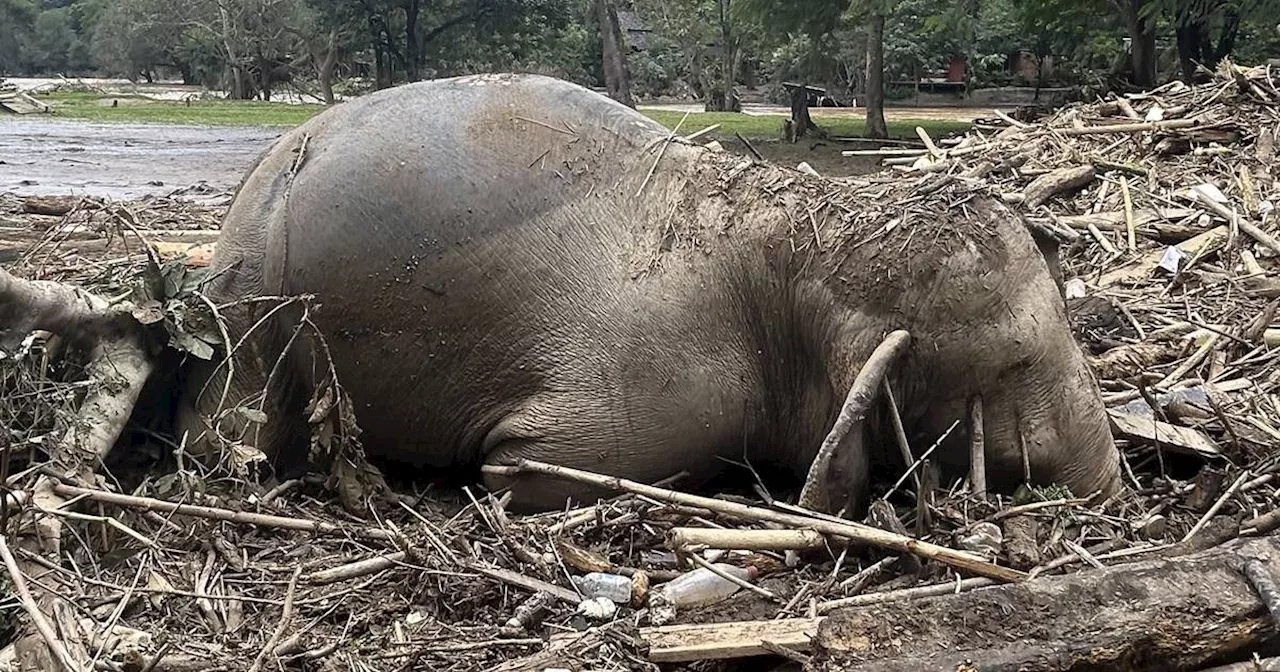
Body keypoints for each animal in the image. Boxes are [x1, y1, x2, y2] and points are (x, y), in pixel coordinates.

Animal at [2, 73, 1121, 514]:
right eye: (1013, 365)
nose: (1115, 485)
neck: (796, 233)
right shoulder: (658, 395)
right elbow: (534, 466)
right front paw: (489, 478)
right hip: (256, 310)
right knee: (228, 427)